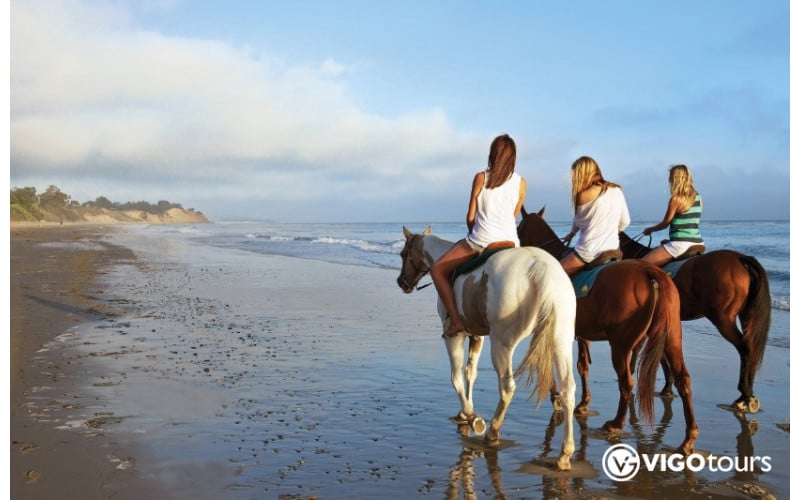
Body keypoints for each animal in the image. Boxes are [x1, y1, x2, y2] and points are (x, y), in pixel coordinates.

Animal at [398, 229, 576, 470]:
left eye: (403, 254)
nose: (401, 282)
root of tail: (541, 268)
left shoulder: (454, 336)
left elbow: (456, 376)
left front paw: (471, 414)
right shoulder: (477, 335)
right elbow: (470, 373)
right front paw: (465, 410)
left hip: (502, 343)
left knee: (507, 387)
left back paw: (492, 433)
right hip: (560, 339)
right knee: (568, 389)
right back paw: (564, 455)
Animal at [516, 205, 696, 456]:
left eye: (518, 228)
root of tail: (651, 274)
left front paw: (557, 397)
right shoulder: (583, 335)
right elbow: (583, 366)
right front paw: (582, 403)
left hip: (620, 345)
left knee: (627, 383)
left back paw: (617, 423)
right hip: (671, 339)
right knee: (683, 379)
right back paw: (688, 438)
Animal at [616, 230, 772, 410]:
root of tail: (741, 258)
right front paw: (668, 386)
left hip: (722, 319)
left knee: (744, 348)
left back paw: (744, 393)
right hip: (746, 315)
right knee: (751, 347)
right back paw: (748, 395)